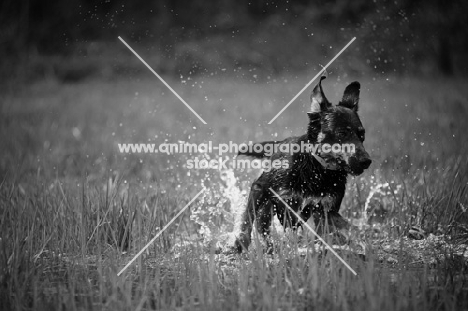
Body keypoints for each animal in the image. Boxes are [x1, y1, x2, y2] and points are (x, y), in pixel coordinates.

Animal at [232, 76, 372, 254]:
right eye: (342, 133)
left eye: (362, 135)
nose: (366, 161)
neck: (317, 170)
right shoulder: (260, 187)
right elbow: (248, 219)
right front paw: (239, 243)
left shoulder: (326, 209)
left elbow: (346, 228)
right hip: (268, 205)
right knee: (262, 225)